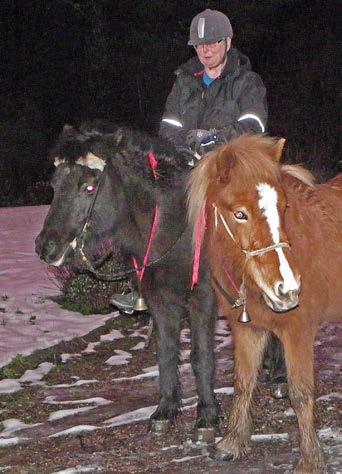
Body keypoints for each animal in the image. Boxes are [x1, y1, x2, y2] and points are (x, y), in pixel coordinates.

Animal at [35, 121, 286, 436]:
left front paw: (207, 415)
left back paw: (280, 377)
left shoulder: (201, 297)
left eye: (89, 187)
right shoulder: (160, 300)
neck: (174, 225)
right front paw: (166, 409)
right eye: (55, 186)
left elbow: (200, 355)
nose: (47, 248)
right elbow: (165, 352)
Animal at [187, 134, 342, 474]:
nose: (288, 287)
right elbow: (243, 382)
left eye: (283, 207)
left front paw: (310, 459)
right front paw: (232, 442)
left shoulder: (298, 332)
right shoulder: (248, 330)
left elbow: (301, 393)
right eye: (239, 214)